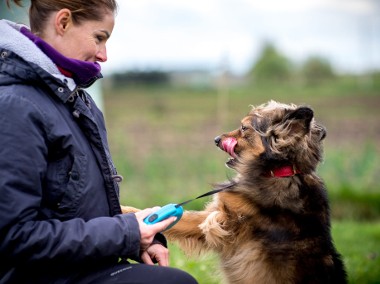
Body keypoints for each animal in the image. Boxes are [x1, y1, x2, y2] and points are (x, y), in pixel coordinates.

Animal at [122, 100, 348, 284]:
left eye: (243, 127)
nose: (215, 139)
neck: (276, 172)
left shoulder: (225, 222)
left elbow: (183, 217)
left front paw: (127, 215)